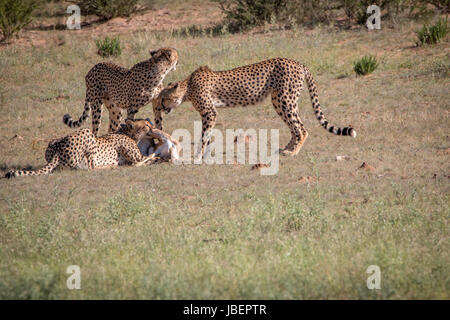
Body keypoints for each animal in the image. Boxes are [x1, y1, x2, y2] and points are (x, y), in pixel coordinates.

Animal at [3, 119, 156, 179]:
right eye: (146, 125)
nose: (153, 127)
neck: (126, 132)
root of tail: (57, 149)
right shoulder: (135, 155)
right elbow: (142, 159)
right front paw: (154, 158)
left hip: (55, 143)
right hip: (87, 133)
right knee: (91, 167)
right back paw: (111, 166)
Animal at [156, 58, 356, 159]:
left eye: (163, 98)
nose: (161, 107)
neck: (188, 88)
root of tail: (298, 63)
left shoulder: (209, 112)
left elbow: (204, 135)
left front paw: (197, 156)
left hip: (284, 99)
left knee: (302, 128)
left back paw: (293, 152)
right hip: (280, 100)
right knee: (295, 126)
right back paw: (285, 149)